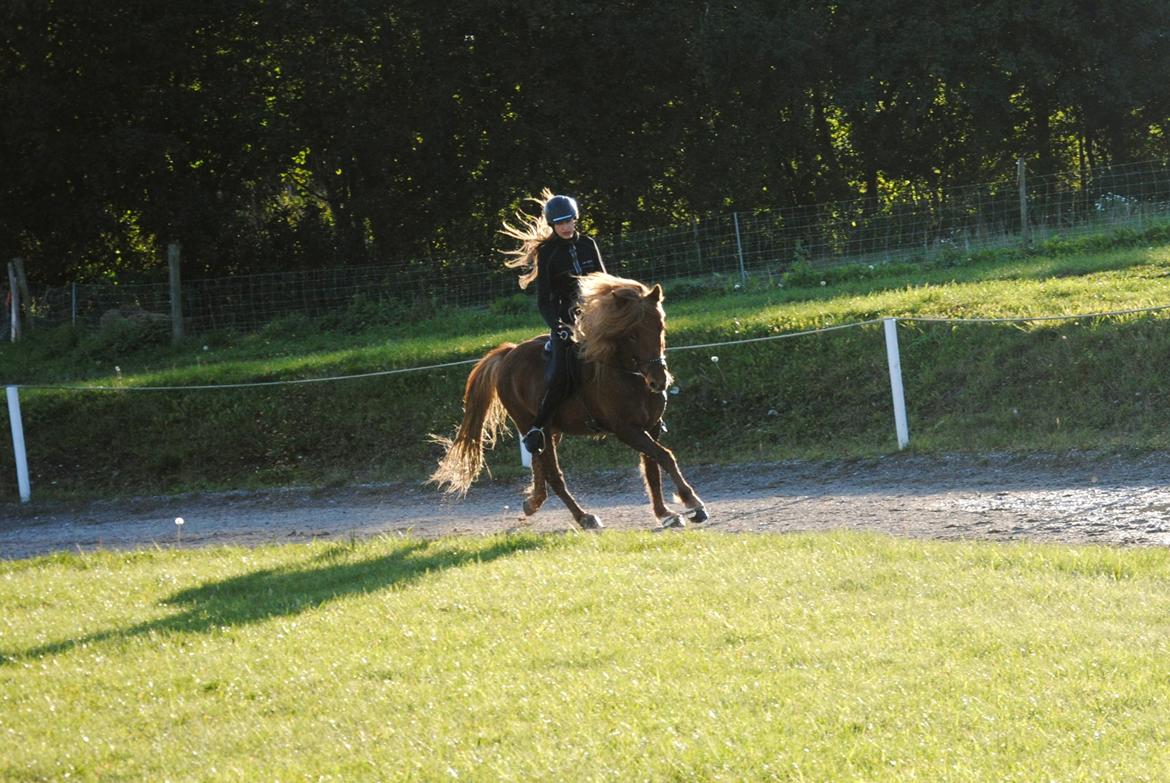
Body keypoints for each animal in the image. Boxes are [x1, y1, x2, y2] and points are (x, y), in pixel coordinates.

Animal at [430, 271, 702, 529]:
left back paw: (533, 502)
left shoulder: (651, 427)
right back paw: (583, 517)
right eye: (632, 335)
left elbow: (653, 467)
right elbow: (664, 456)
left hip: (550, 430)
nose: (659, 381)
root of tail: (509, 353)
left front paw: (665, 514)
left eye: (660, 327)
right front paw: (692, 502)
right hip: (529, 422)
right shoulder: (627, 429)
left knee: (539, 462)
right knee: (553, 474)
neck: (628, 375)